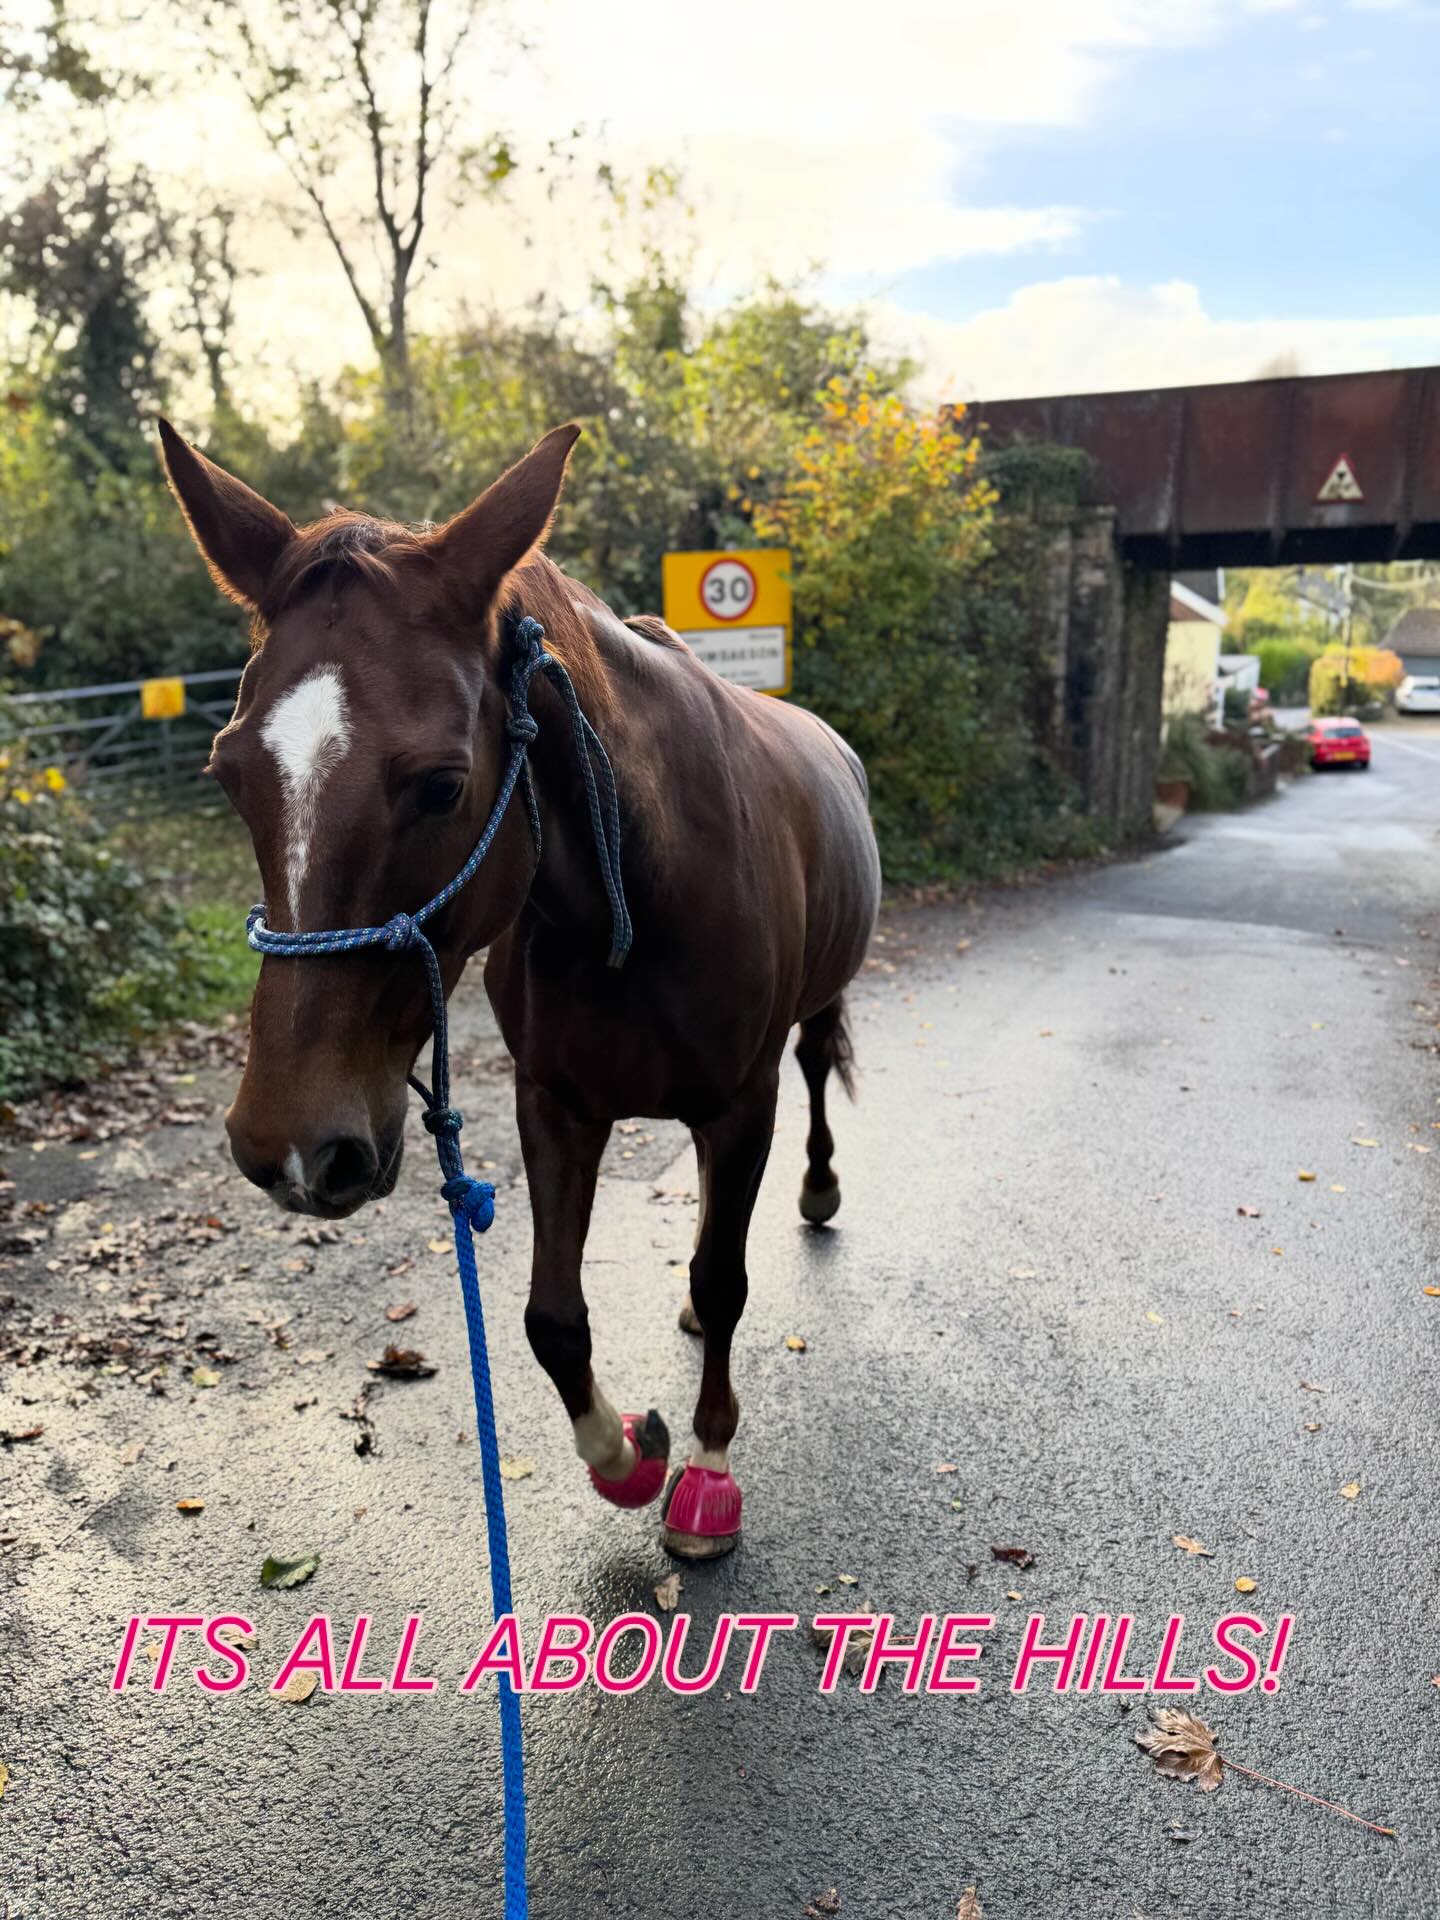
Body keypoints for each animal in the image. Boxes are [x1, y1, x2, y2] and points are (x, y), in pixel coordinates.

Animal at [159, 418, 881, 1559]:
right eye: (230, 774)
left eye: (444, 785)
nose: (290, 1147)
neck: (639, 901)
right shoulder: (555, 1106)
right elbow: (552, 1319)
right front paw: (629, 1457)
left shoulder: (741, 1101)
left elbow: (726, 1282)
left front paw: (707, 1473)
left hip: (806, 1029)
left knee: (814, 1073)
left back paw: (816, 1188)